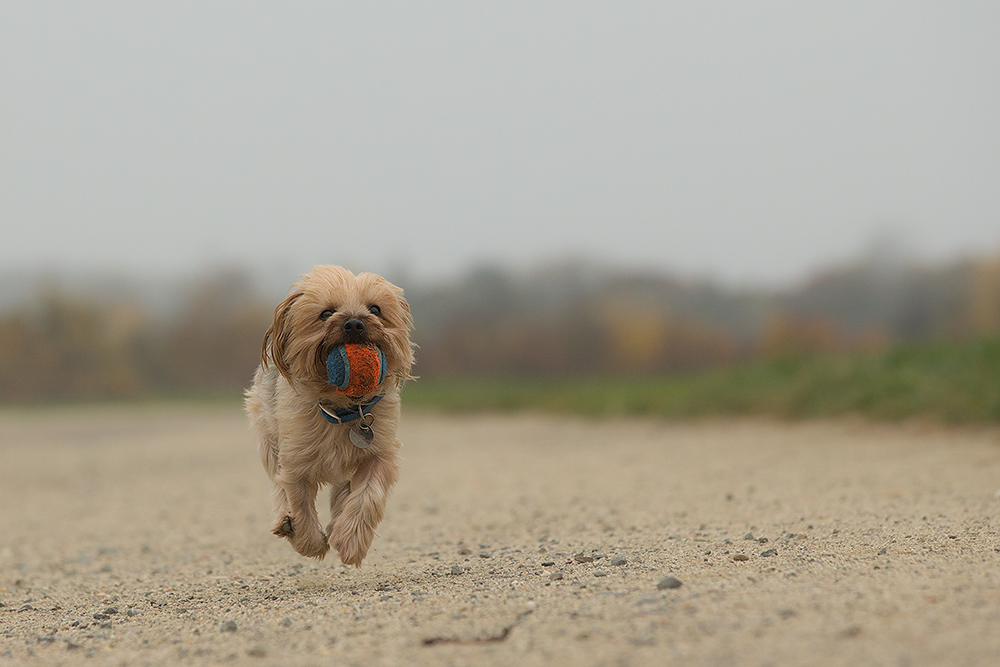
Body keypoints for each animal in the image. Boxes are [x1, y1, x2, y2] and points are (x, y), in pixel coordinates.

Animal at [245, 264, 414, 568]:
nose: (355, 323)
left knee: (341, 493)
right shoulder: (294, 462)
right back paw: (286, 521)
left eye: (375, 309)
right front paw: (309, 541)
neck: (342, 408)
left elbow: (367, 496)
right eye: (326, 313)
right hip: (268, 438)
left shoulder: (379, 455)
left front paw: (350, 542)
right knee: (277, 483)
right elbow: (297, 499)